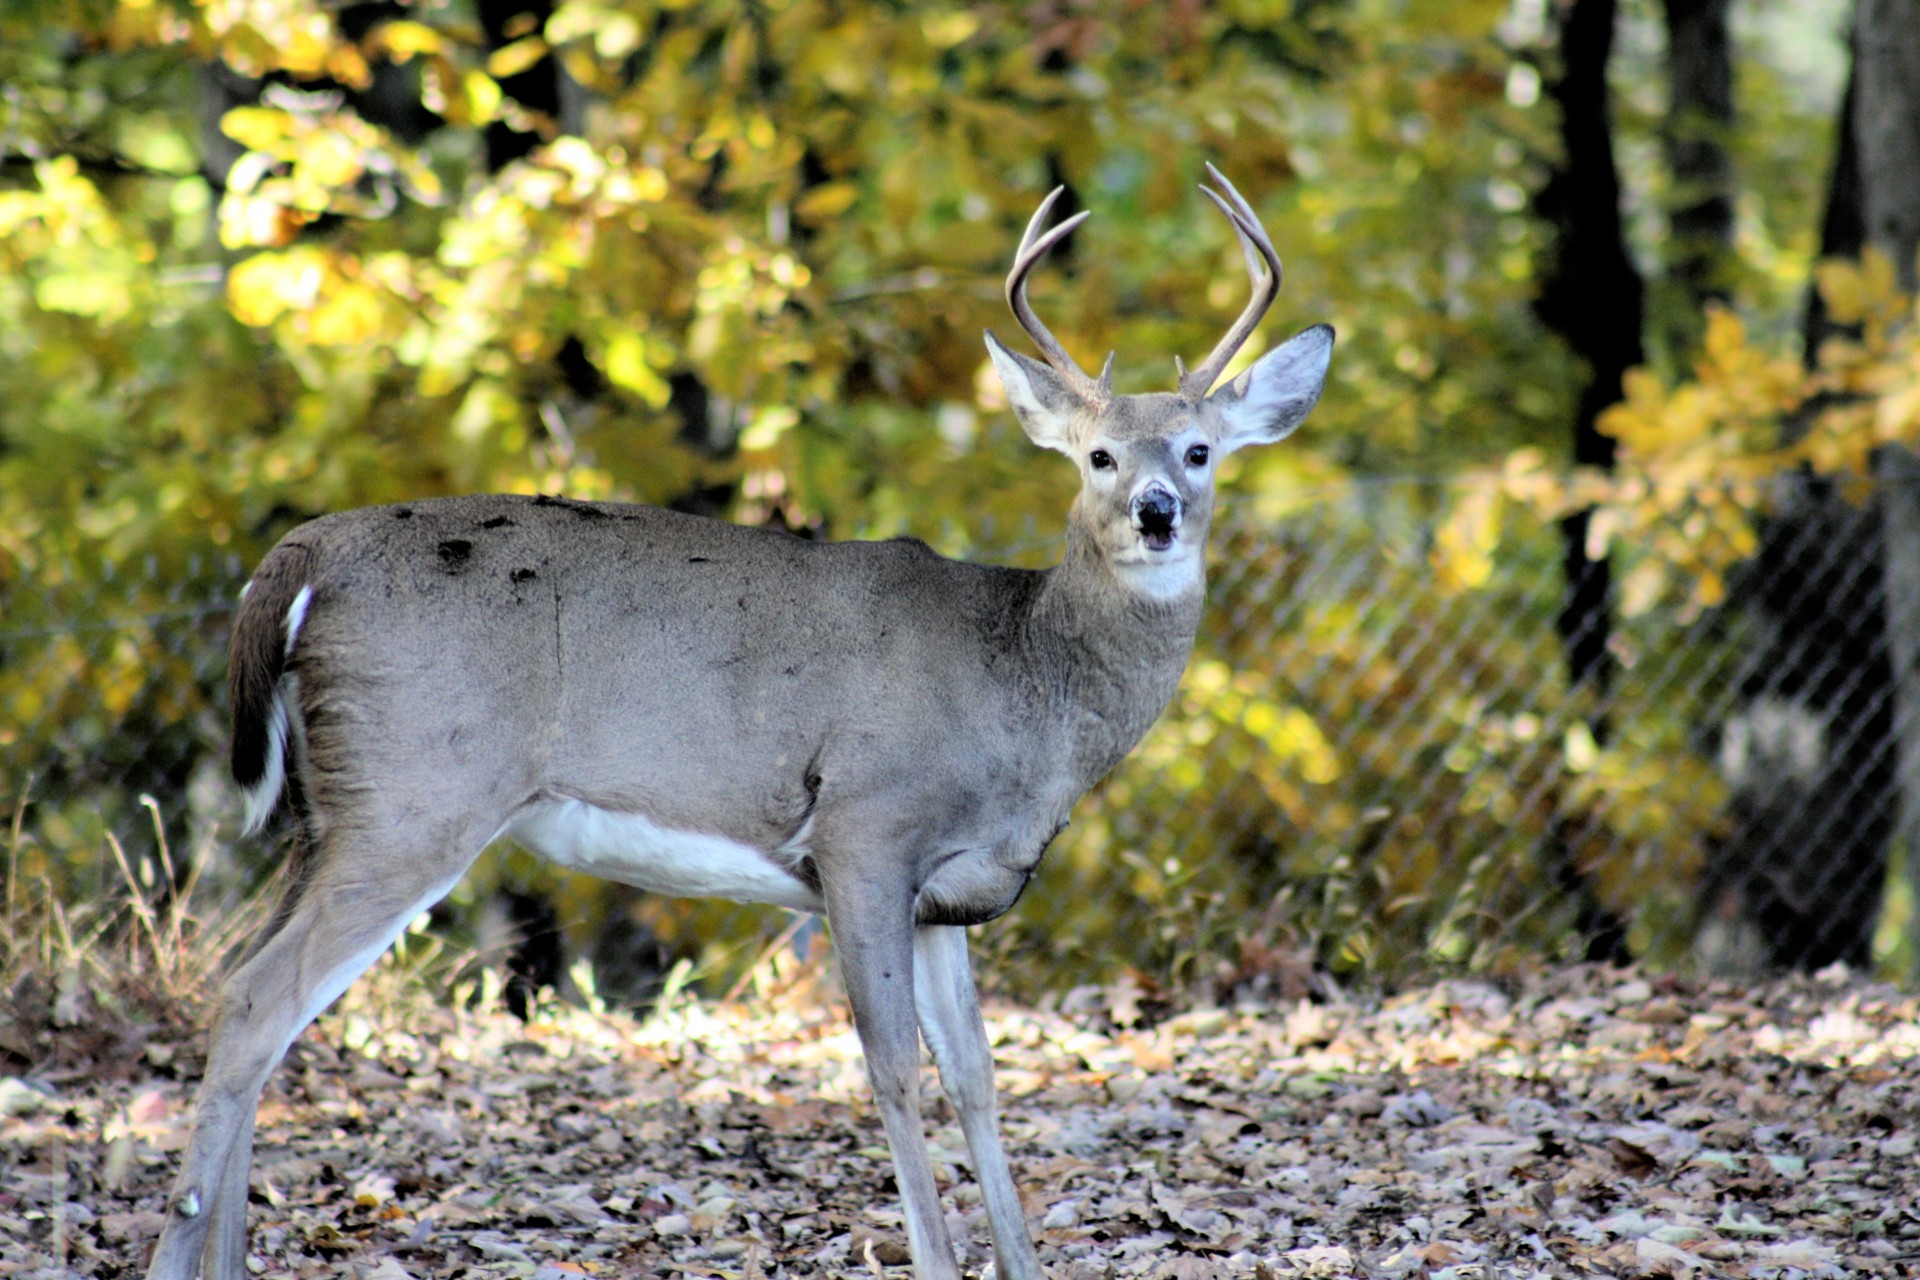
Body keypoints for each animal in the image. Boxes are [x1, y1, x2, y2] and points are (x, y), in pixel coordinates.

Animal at [149, 169, 1328, 1280]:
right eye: (1098, 456)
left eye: (1199, 451)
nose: (1155, 512)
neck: (1022, 675)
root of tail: (301, 557)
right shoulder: (863, 830)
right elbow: (894, 1069)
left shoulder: (947, 892)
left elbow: (981, 1076)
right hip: (417, 792)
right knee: (255, 1001)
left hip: (330, 812)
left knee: (248, 997)